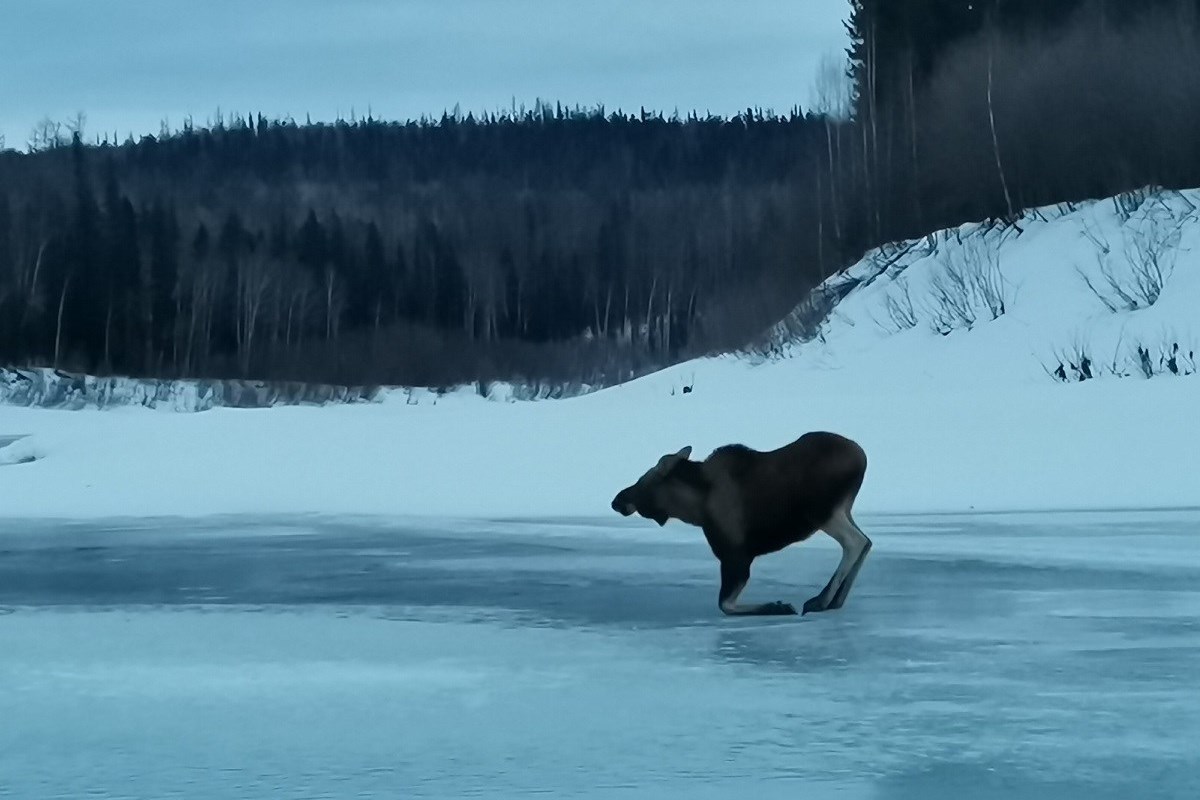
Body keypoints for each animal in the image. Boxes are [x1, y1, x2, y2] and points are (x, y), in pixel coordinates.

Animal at [609, 434, 873, 618]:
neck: (695, 508)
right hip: (842, 509)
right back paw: (836, 600)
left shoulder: (735, 555)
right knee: (867, 542)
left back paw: (820, 600)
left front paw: (776, 606)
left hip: (822, 512)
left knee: (855, 542)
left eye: (645, 479)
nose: (617, 500)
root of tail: (862, 457)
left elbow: (725, 604)